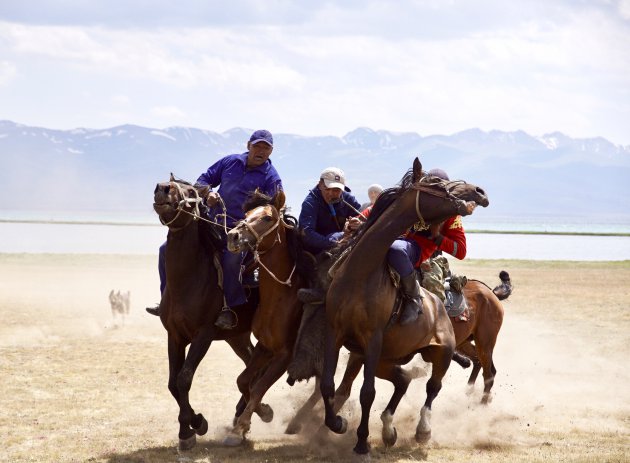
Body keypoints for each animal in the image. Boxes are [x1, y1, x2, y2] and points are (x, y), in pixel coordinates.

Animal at [153, 176, 274, 452]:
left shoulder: (203, 335)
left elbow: (184, 378)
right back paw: (247, 414)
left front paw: (191, 429)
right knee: (250, 365)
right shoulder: (174, 336)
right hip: (236, 336)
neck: (188, 279)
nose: (162, 188)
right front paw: (192, 425)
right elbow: (172, 382)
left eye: (189, 191)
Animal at [320, 158, 494, 454]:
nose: (479, 191)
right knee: (402, 380)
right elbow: (328, 385)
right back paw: (388, 430)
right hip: (387, 359)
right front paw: (338, 423)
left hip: (443, 352)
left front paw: (362, 441)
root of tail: (439, 306)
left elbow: (367, 393)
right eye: (435, 183)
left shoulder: (372, 340)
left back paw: (422, 430)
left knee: (433, 387)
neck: (360, 273)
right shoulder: (335, 333)